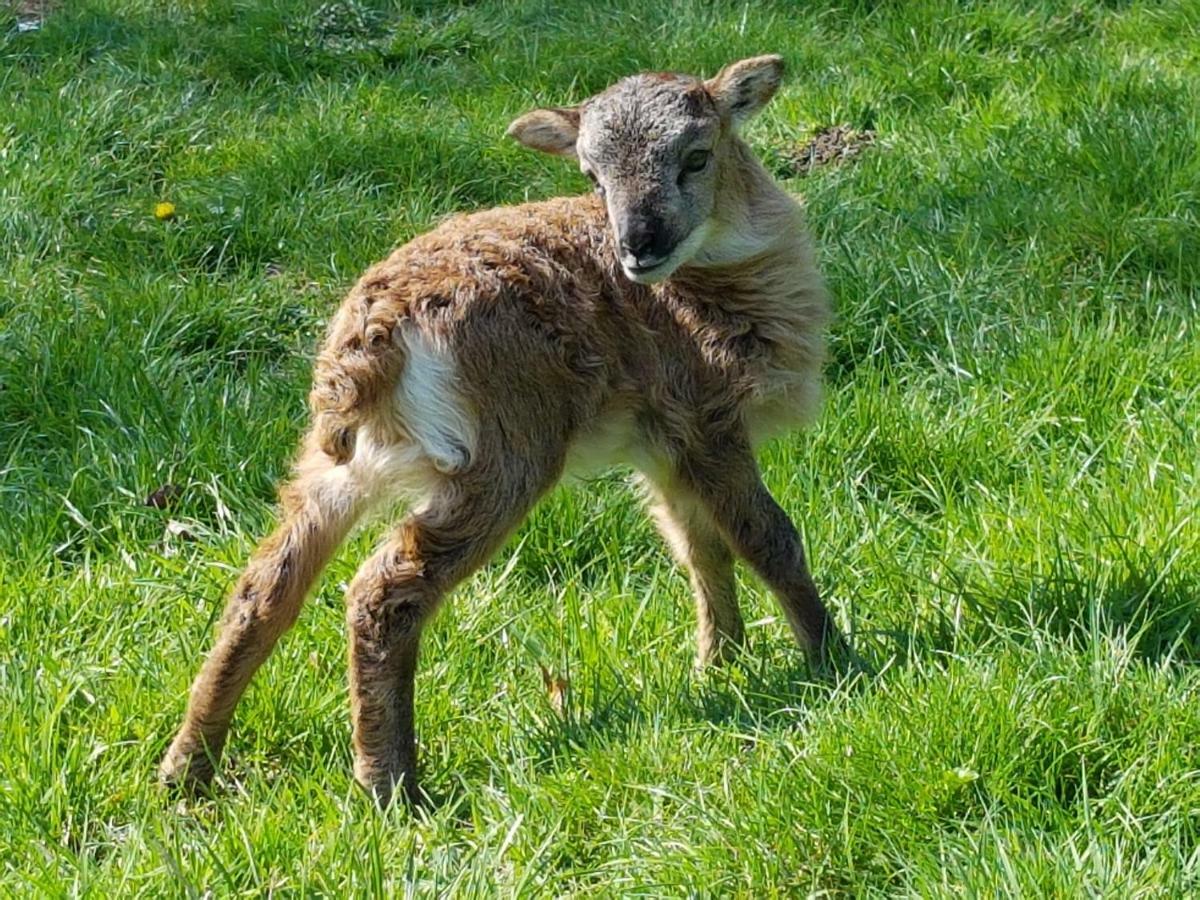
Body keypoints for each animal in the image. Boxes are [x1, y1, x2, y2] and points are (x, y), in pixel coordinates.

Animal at [162, 52, 844, 806]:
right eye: (590, 176)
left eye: (696, 156)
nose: (638, 246)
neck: (722, 282)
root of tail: (366, 346)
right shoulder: (705, 416)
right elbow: (767, 538)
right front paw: (832, 658)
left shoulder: (660, 440)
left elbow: (700, 548)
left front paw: (721, 664)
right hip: (504, 451)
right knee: (384, 588)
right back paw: (391, 785)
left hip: (338, 460)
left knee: (265, 585)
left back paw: (187, 769)